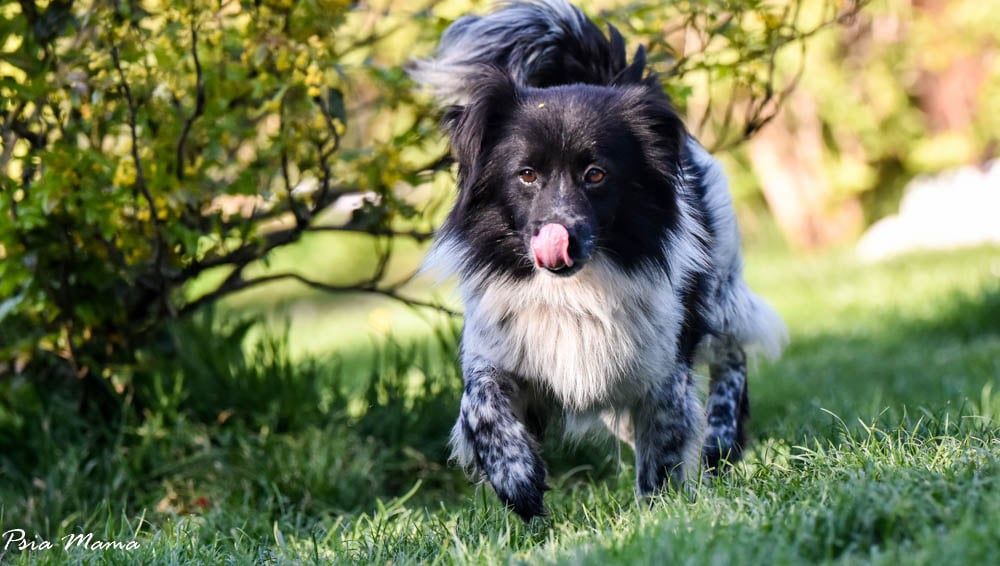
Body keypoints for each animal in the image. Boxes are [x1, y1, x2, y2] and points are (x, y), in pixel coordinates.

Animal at [410, 1, 784, 524]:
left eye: (596, 174)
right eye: (526, 175)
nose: (560, 236)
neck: (576, 291)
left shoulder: (662, 374)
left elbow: (663, 449)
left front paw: (658, 512)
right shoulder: (498, 356)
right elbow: (482, 408)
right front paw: (519, 483)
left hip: (720, 290)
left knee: (732, 354)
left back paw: (721, 439)